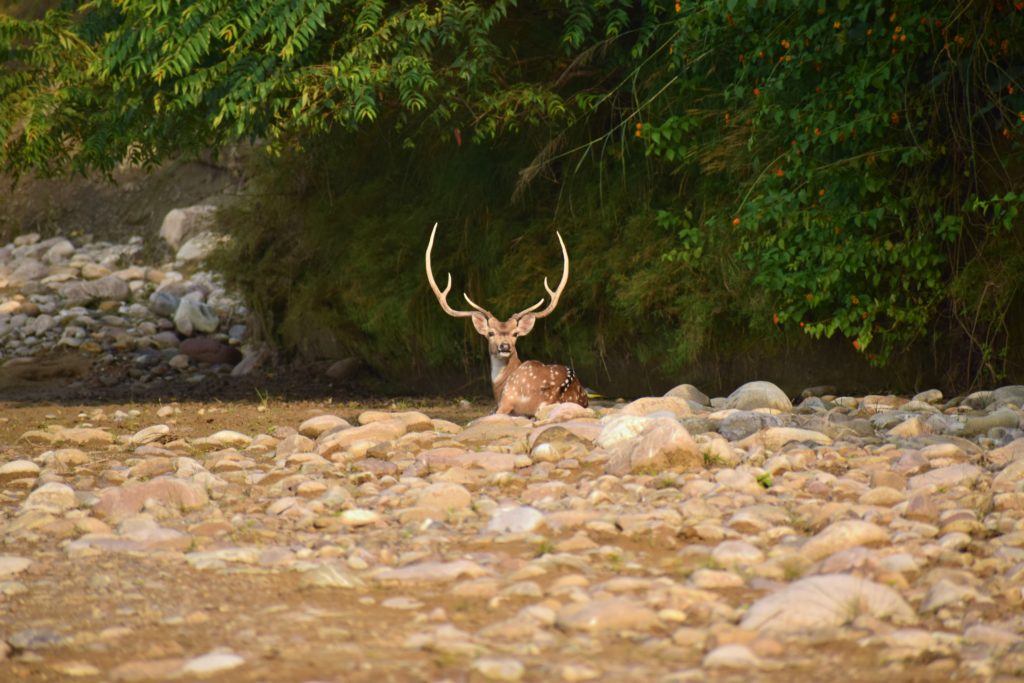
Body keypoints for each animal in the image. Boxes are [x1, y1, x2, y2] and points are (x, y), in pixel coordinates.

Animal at [421, 224, 585, 417]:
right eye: (491, 333)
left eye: (515, 334)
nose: (505, 346)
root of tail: (556, 394)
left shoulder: (501, 402)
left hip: (511, 395)